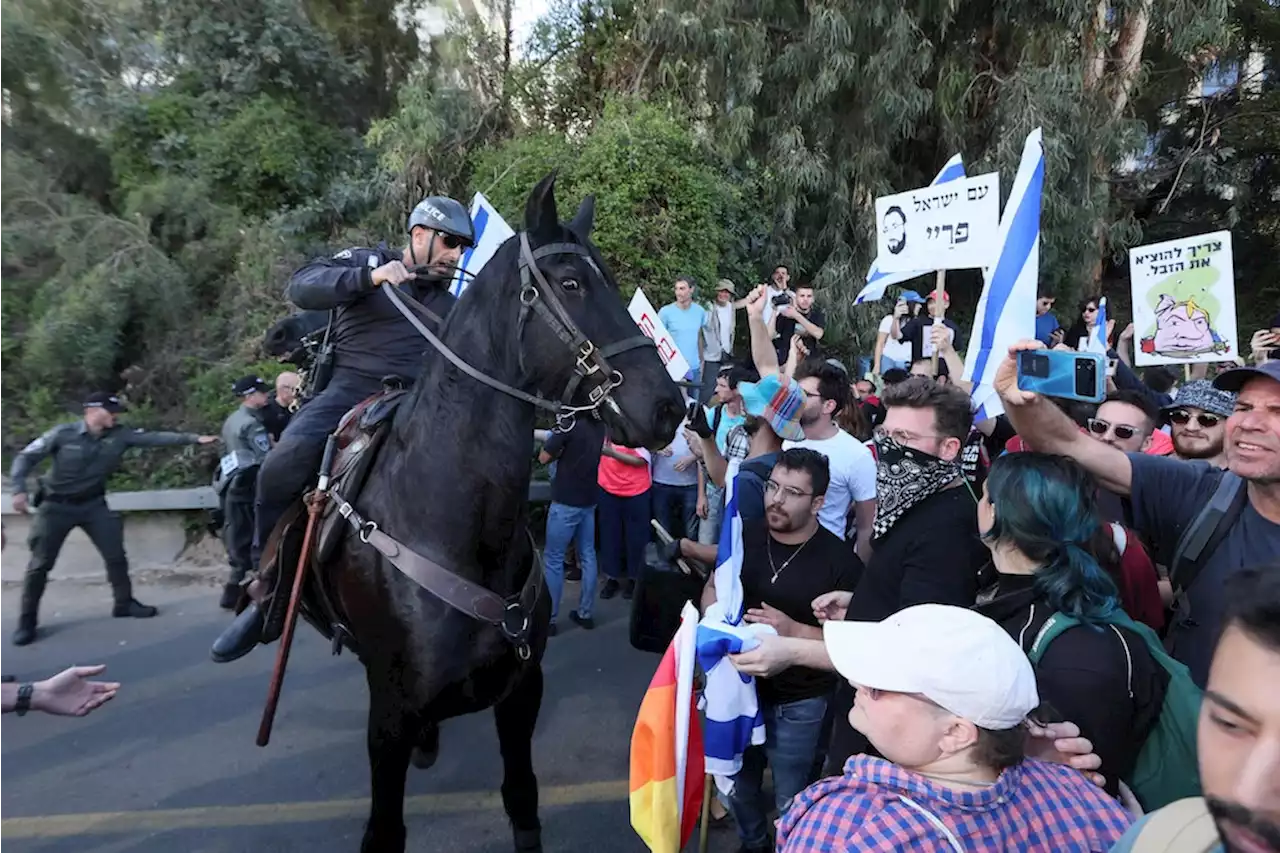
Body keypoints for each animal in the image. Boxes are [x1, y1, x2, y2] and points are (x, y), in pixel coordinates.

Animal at [316, 174, 686, 850]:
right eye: (572, 284)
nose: (669, 407)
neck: (455, 528)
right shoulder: (389, 716)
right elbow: (384, 829)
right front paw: (376, 274)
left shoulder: (521, 692)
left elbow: (522, 799)